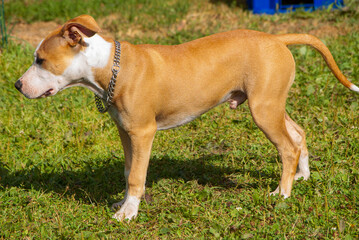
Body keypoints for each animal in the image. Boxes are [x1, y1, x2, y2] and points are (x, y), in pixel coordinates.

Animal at [14, 14, 359, 221]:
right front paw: (124, 203)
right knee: (298, 134)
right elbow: (128, 172)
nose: (17, 85)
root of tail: (277, 39)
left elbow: (137, 175)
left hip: (263, 110)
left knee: (287, 146)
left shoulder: (143, 132)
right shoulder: (125, 132)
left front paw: (128, 214)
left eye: (40, 60)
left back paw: (282, 193)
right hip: (271, 104)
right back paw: (301, 176)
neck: (111, 68)